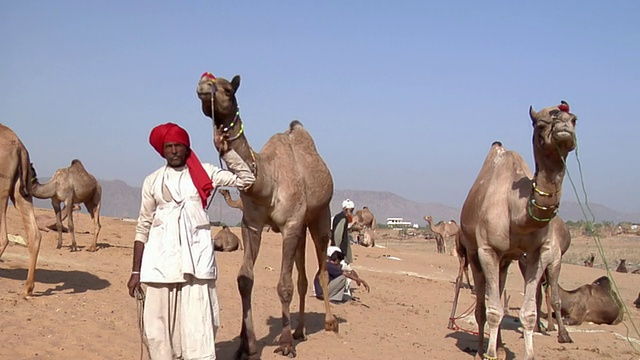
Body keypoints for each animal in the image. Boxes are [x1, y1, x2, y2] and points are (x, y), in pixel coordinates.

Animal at [195, 71, 336, 358]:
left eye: (227, 89)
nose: (204, 86)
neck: (267, 180)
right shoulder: (252, 225)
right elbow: (244, 279)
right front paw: (245, 345)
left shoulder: (290, 224)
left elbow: (284, 286)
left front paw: (285, 343)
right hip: (301, 227)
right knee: (303, 278)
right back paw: (300, 330)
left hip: (319, 216)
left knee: (322, 269)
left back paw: (328, 322)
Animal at [458, 101, 576, 360]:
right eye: (541, 124)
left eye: (574, 119)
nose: (564, 127)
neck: (517, 213)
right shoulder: (488, 250)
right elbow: (492, 311)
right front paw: (490, 354)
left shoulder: (538, 253)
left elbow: (528, 312)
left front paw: (528, 354)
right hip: (472, 252)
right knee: (482, 306)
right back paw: (481, 350)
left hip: (506, 261)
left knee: (500, 292)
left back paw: (501, 345)